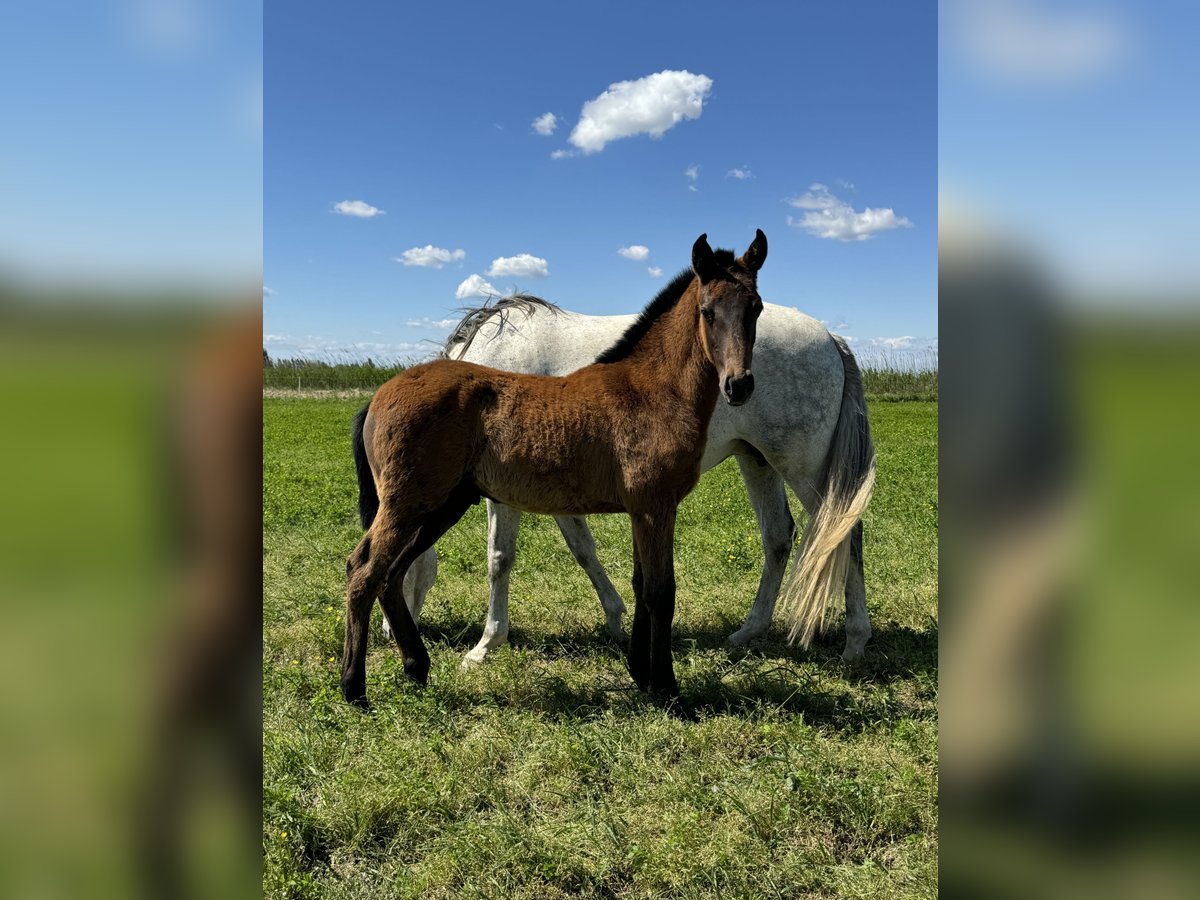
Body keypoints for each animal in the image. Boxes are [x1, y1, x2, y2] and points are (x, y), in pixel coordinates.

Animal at [343, 230, 763, 705]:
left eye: (756, 308)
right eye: (707, 312)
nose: (739, 385)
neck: (651, 390)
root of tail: (379, 395)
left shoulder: (643, 510)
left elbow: (641, 585)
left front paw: (641, 674)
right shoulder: (656, 507)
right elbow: (661, 592)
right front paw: (668, 692)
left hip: (441, 506)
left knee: (390, 574)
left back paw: (416, 667)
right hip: (408, 504)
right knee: (364, 570)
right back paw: (354, 689)